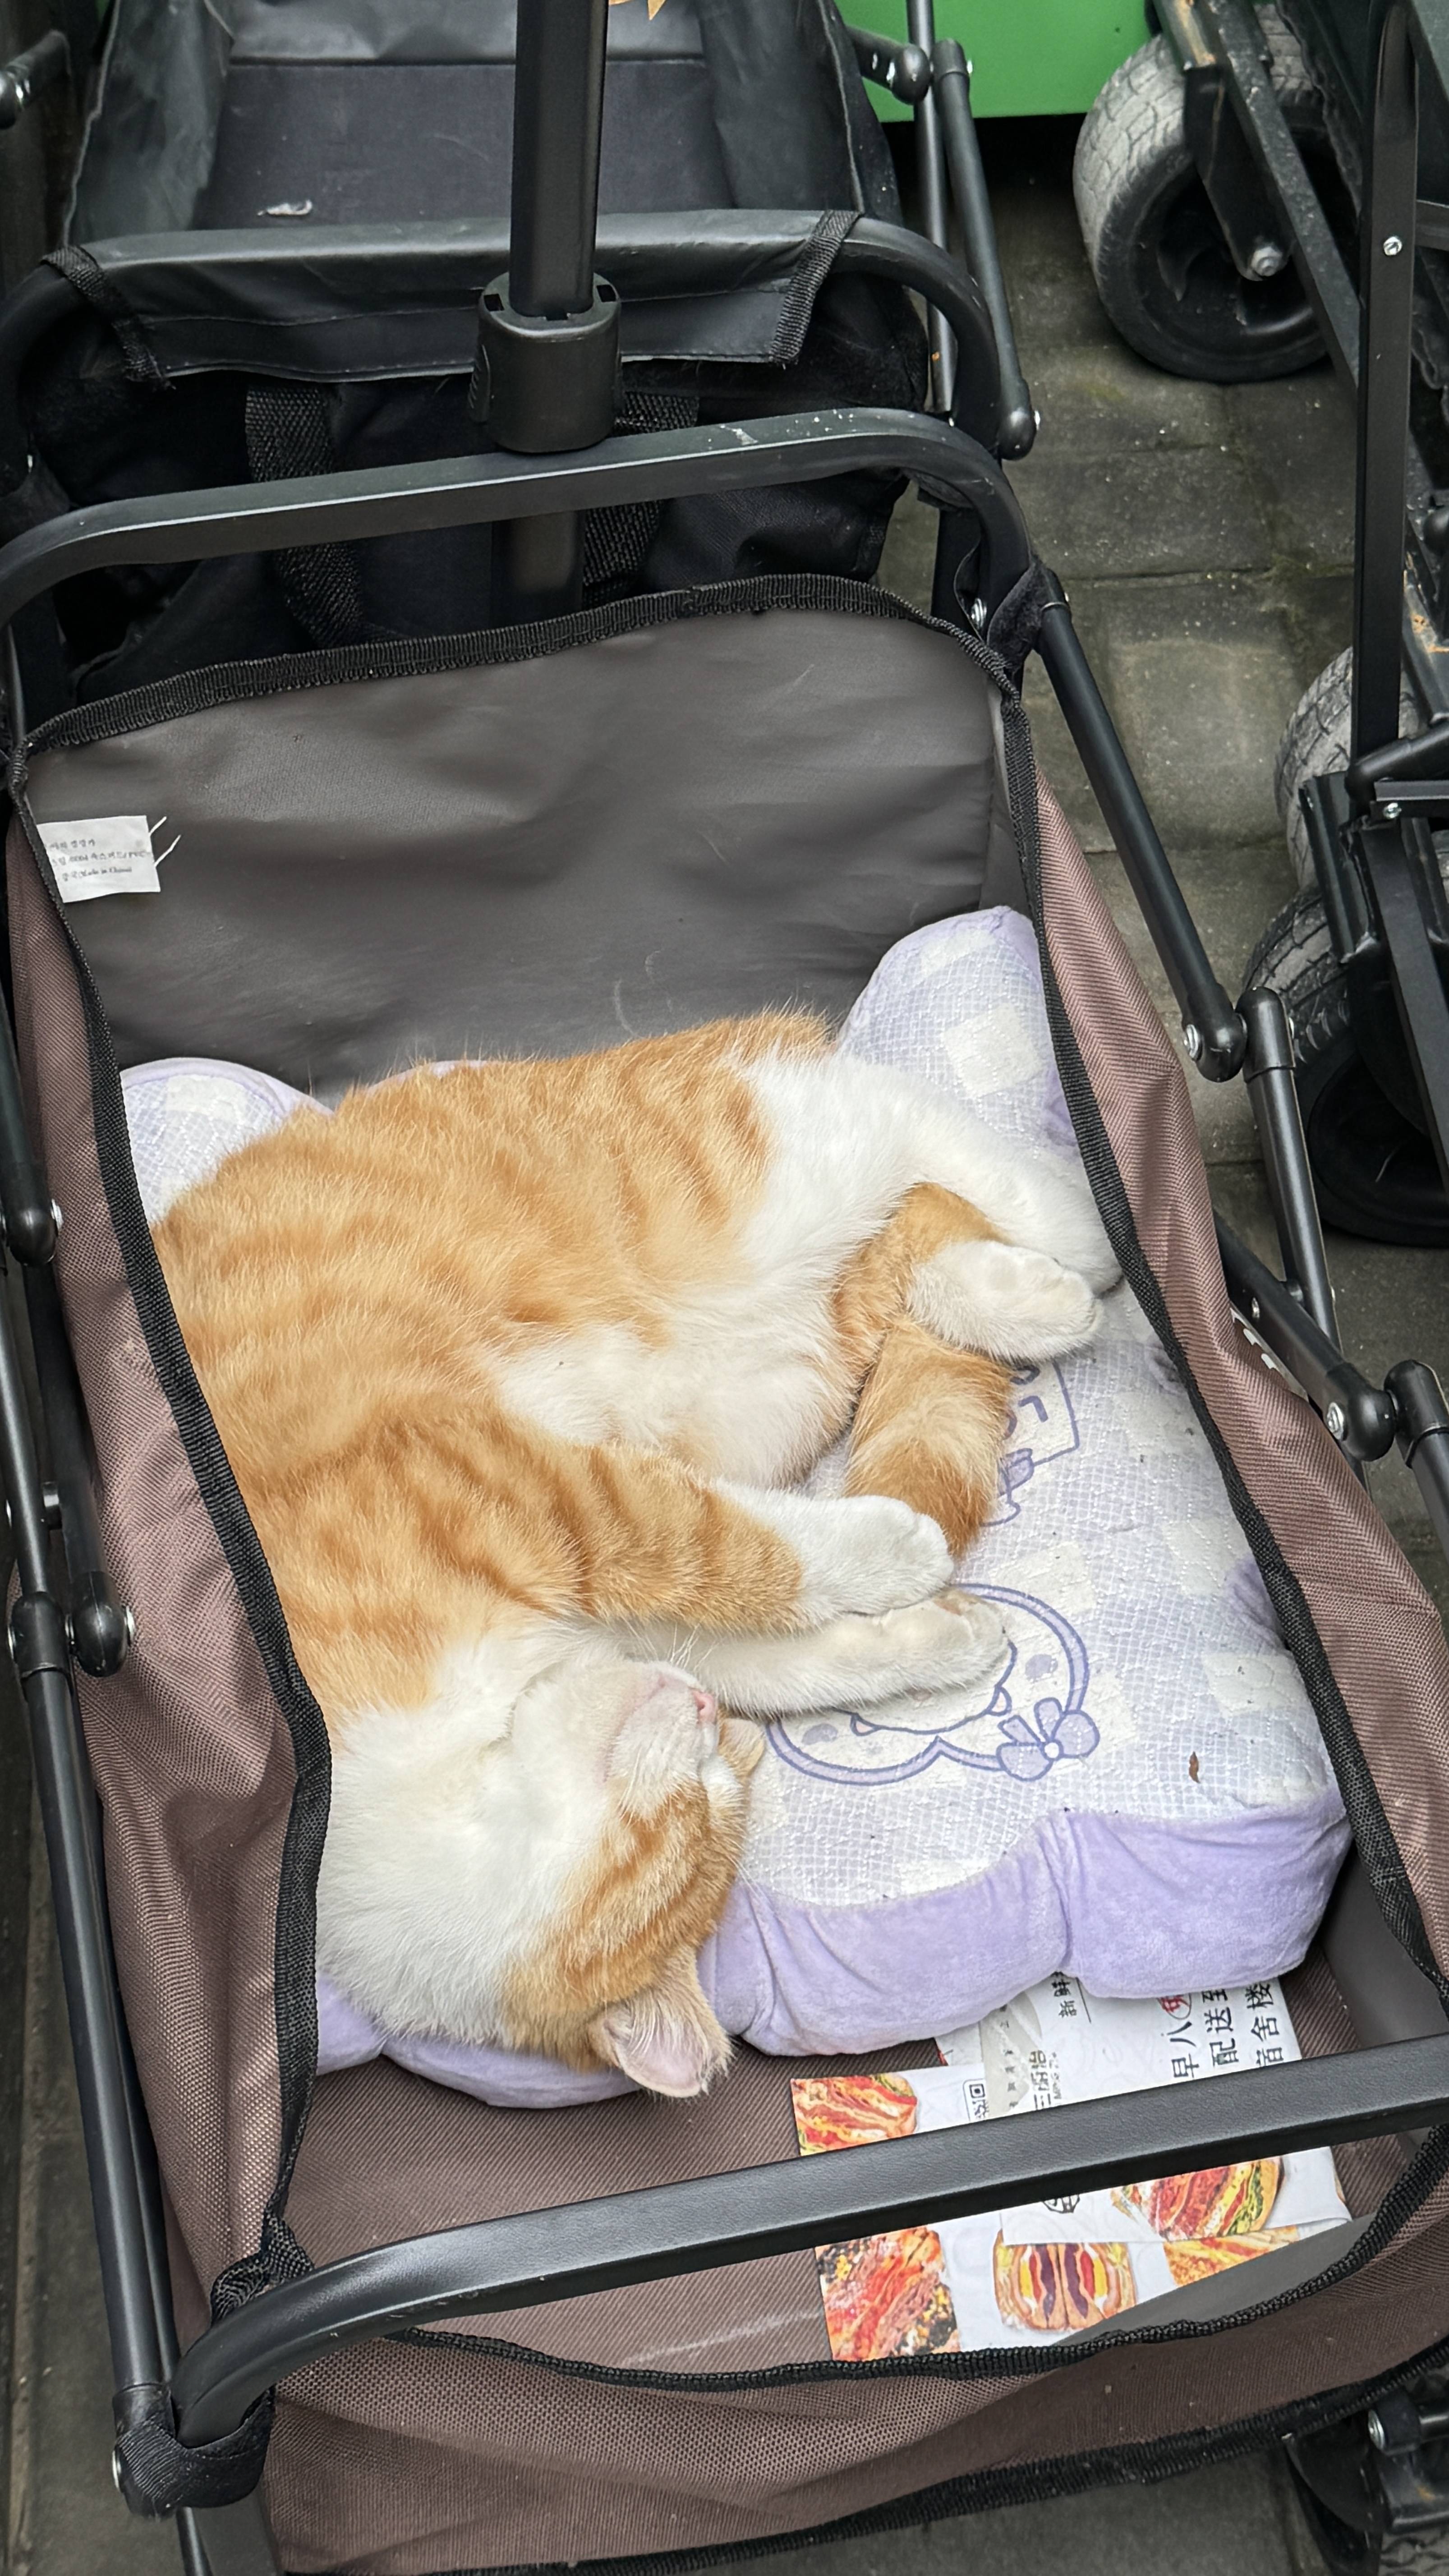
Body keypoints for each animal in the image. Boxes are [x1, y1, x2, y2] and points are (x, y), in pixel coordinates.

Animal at [152, 1012, 1117, 2096]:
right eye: (706, 1797)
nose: (696, 1715)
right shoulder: (645, 1620)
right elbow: (780, 1639)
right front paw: (932, 1632)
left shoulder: (519, 1482)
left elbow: (712, 1538)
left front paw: (890, 1546)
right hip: (777, 1375)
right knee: (897, 1240)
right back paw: (1025, 1295)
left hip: (741, 1189)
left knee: (919, 1140)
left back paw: (1080, 1237)